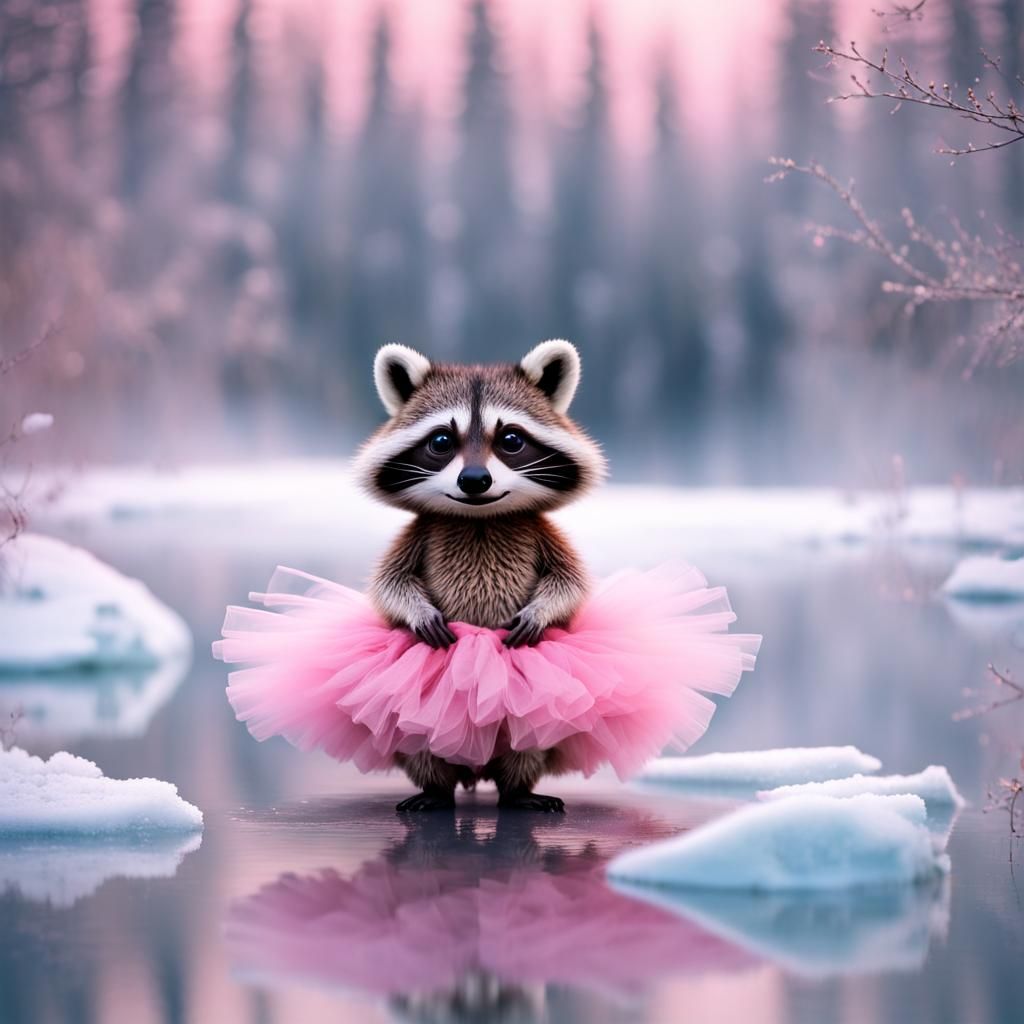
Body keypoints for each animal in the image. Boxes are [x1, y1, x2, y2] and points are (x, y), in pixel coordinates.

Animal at [353, 340, 607, 812]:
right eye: (440, 441)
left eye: (511, 440)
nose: (474, 480)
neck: (479, 518)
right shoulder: (420, 531)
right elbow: (389, 582)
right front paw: (415, 611)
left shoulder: (541, 531)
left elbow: (570, 581)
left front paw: (543, 611)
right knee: (416, 736)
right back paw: (435, 789)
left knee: (531, 740)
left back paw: (517, 790)